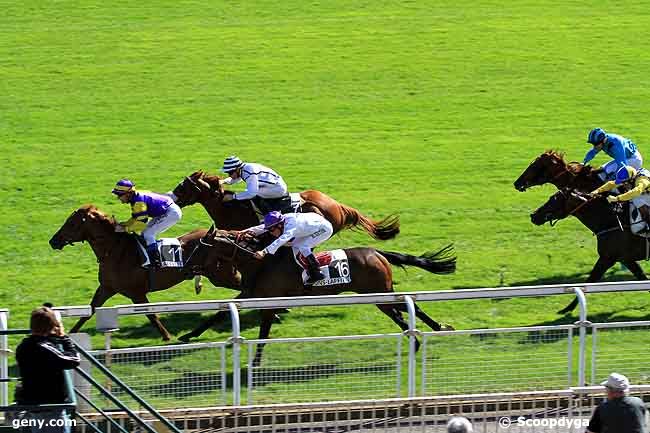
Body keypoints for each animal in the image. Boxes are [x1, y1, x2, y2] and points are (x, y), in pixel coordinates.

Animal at [47, 204, 240, 340]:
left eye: (71, 223)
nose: (53, 241)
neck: (115, 251)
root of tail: (218, 233)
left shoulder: (136, 293)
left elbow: (151, 315)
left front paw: (167, 337)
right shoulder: (106, 288)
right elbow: (89, 311)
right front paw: (68, 334)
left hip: (222, 276)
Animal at [175, 228, 454, 366]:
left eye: (199, 247)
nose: (186, 267)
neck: (260, 261)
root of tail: (377, 252)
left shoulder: (269, 301)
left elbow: (263, 333)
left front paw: (255, 362)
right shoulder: (251, 294)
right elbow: (221, 312)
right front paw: (188, 335)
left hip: (378, 292)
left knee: (405, 310)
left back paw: (426, 335)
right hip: (377, 294)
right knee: (405, 309)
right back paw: (430, 332)